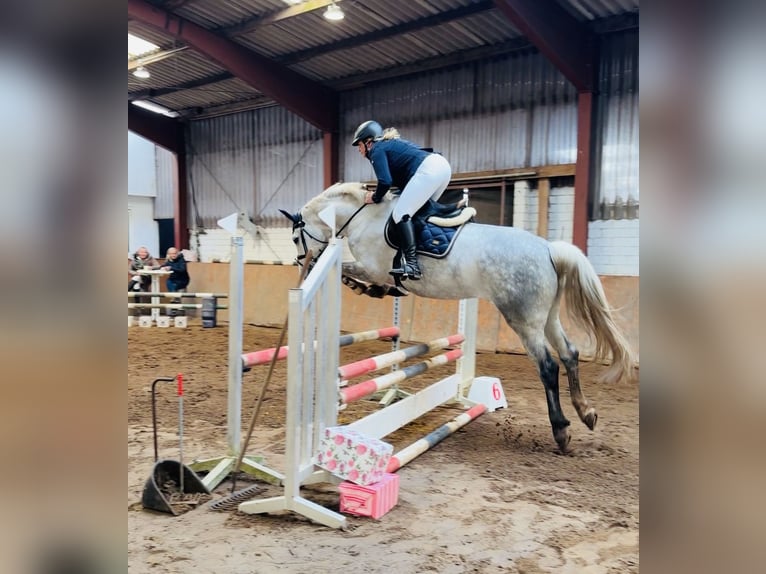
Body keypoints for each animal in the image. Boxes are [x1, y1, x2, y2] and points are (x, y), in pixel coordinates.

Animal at [281, 181, 635, 452]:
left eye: (296, 237)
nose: (303, 265)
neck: (364, 216)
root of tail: (548, 249)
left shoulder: (371, 267)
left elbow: (348, 270)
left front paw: (365, 287)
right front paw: (380, 290)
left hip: (523, 319)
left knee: (548, 366)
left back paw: (561, 431)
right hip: (546, 317)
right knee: (570, 354)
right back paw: (586, 413)